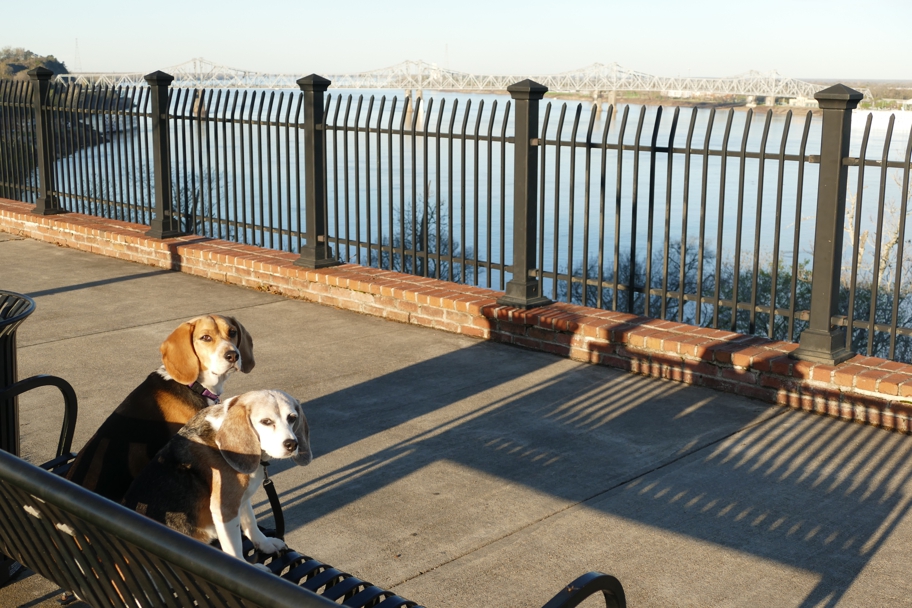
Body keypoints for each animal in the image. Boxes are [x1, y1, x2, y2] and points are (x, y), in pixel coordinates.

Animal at [123, 390, 312, 564]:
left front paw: (265, 544)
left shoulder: (241, 499)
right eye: (266, 421)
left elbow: (250, 522)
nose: (292, 444)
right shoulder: (225, 508)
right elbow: (234, 547)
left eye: (292, 418)